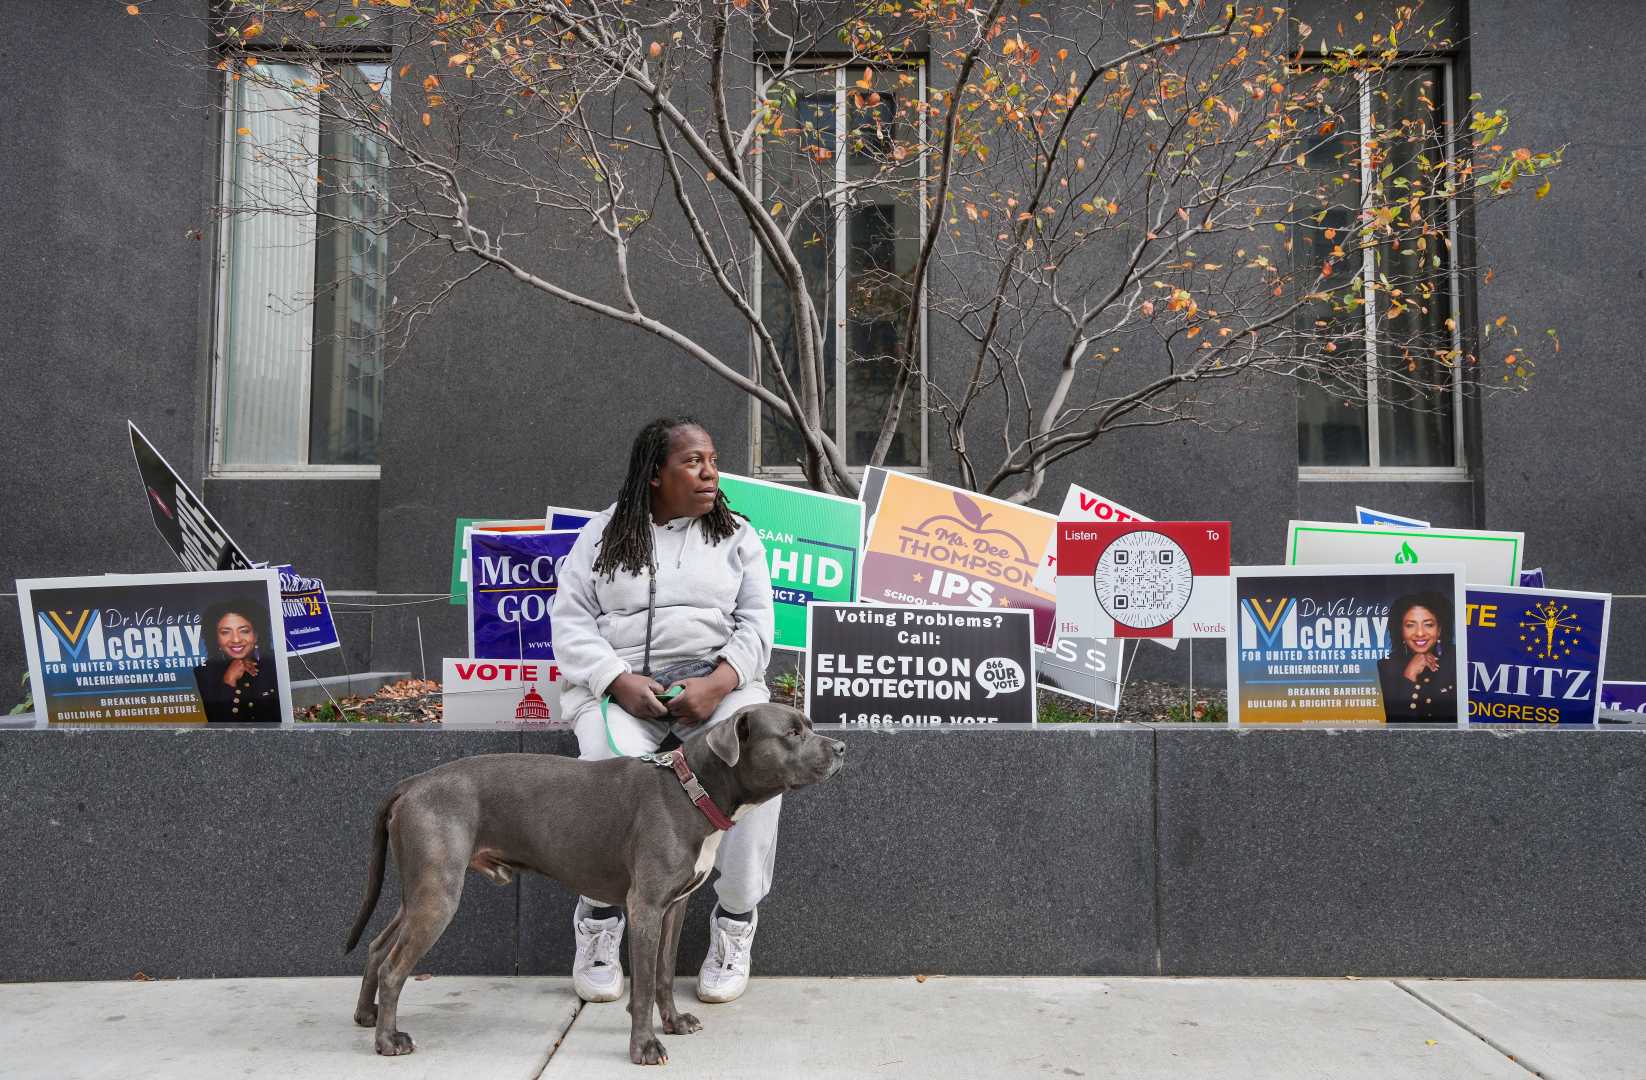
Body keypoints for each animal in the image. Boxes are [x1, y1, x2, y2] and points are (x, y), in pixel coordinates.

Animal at [342, 704, 842, 1066]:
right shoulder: (645, 908)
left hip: (420, 891)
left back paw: (367, 1016)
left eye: (808, 726)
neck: (692, 789)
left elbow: (663, 975)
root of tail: (413, 782)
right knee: (395, 967)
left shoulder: (672, 908)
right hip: (438, 894)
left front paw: (674, 1023)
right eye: (792, 733)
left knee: (378, 948)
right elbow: (643, 986)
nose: (840, 747)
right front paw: (644, 1047)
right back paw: (389, 1040)